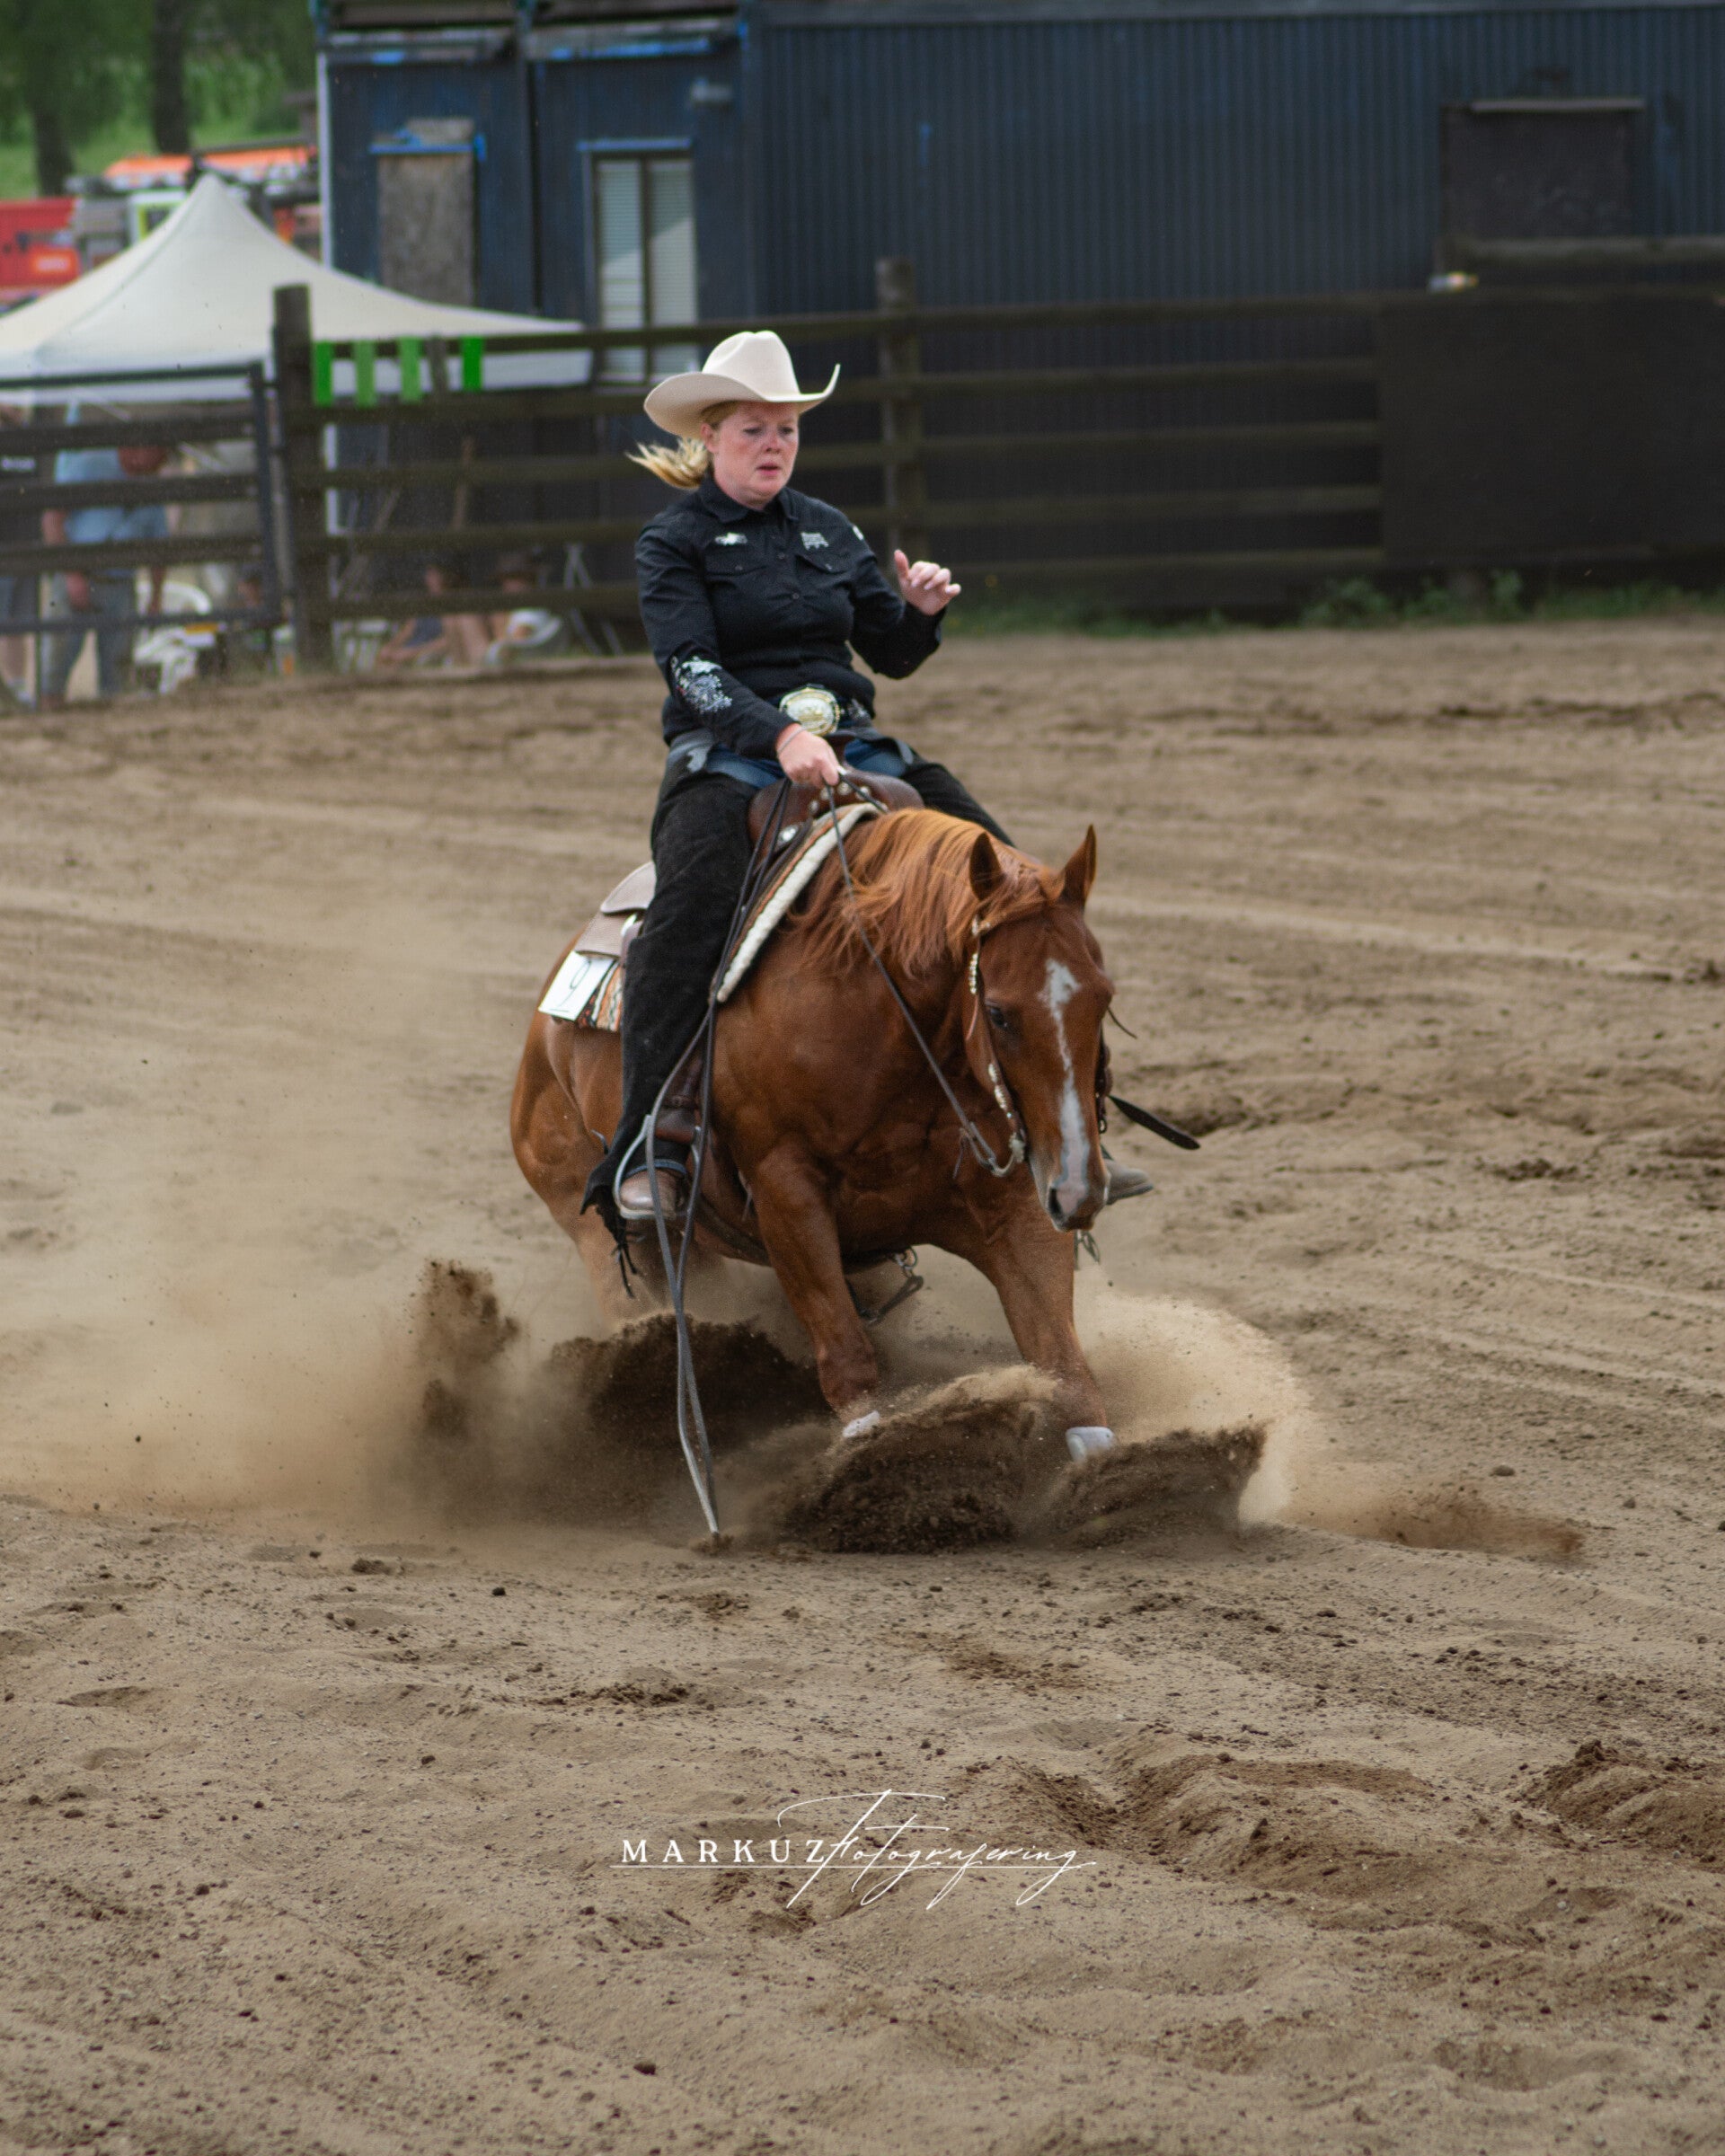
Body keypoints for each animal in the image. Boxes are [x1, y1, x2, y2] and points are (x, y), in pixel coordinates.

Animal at [510, 806, 1120, 1455]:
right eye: (1000, 1013)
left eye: (1104, 997)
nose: (1078, 1189)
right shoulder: (787, 1197)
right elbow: (848, 1362)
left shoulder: (1014, 1206)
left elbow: (1066, 1370)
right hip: (610, 1240)